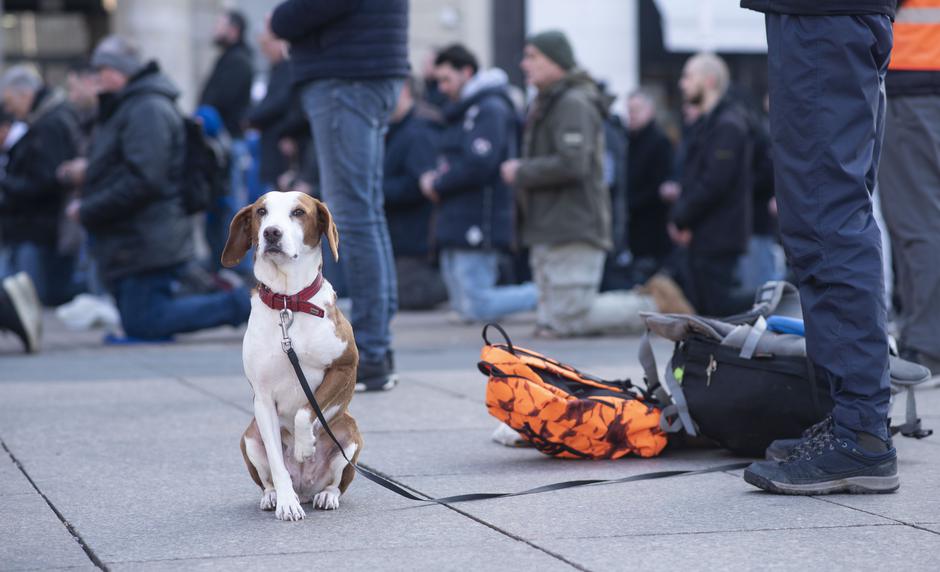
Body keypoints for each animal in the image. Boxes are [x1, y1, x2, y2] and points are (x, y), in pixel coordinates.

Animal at [222, 190, 362, 520]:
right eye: (261, 212)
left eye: (299, 212)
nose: (271, 232)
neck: (289, 302)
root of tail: (306, 488)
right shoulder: (262, 400)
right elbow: (277, 460)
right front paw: (286, 502)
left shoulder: (344, 369)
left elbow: (305, 410)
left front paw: (303, 446)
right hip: (249, 436)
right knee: (268, 479)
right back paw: (274, 495)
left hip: (350, 432)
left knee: (336, 482)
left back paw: (326, 495)